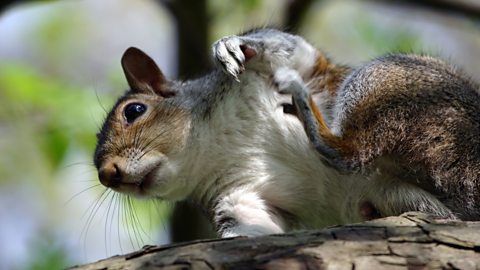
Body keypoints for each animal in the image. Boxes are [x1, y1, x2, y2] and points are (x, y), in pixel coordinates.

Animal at [94, 28, 480, 237]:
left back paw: (304, 107)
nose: (106, 174)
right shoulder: (239, 198)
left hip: (387, 84)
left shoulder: (291, 65)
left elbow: (287, 49)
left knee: (348, 151)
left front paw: (232, 45)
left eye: (134, 111)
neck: (215, 146)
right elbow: (251, 229)